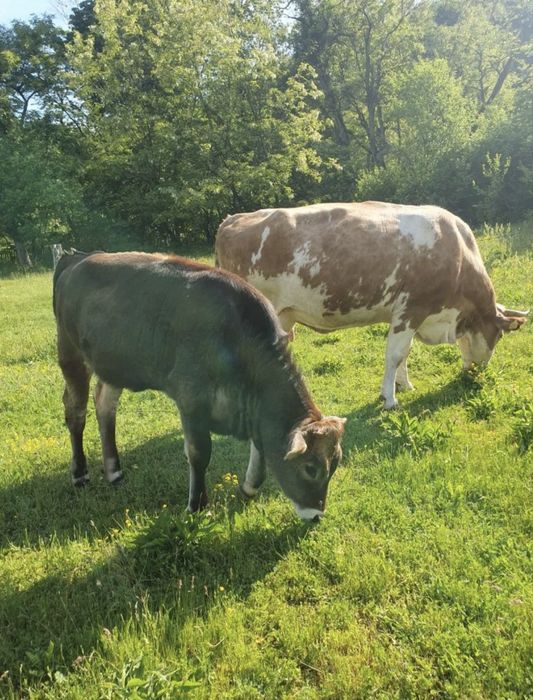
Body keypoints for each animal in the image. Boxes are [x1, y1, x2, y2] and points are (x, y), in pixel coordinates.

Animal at [53, 251, 345, 520]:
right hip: (70, 354)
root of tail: (75, 257)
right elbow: (199, 452)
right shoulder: (191, 398)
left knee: (105, 406)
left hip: (114, 365)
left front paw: (250, 486)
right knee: (76, 411)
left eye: (335, 464)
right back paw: (80, 474)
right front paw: (198, 505)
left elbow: (260, 447)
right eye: (310, 467)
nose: (316, 515)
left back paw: (114, 471)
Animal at [216, 202, 528, 409]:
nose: (477, 373)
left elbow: (405, 353)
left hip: (281, 316)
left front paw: (404, 384)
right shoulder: (411, 310)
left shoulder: (409, 316)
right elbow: (395, 354)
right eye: (499, 335)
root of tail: (232, 219)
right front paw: (389, 398)